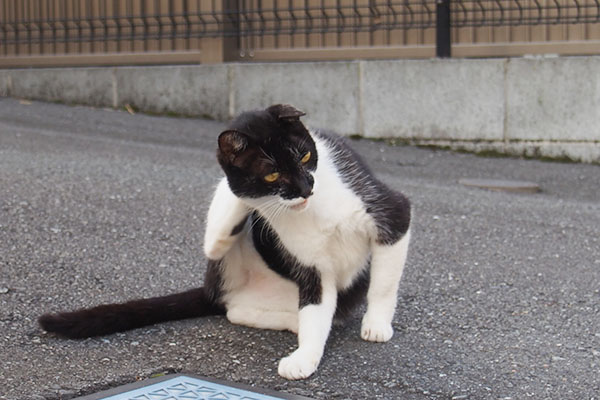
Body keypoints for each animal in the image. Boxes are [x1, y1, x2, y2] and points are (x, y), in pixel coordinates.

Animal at [38, 104, 412, 380]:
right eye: (272, 174)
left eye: (306, 157)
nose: (307, 188)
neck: (309, 211)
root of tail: (211, 292)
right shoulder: (310, 267)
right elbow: (314, 313)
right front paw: (305, 356)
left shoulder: (392, 213)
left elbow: (382, 285)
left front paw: (376, 325)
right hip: (229, 267)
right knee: (230, 287)